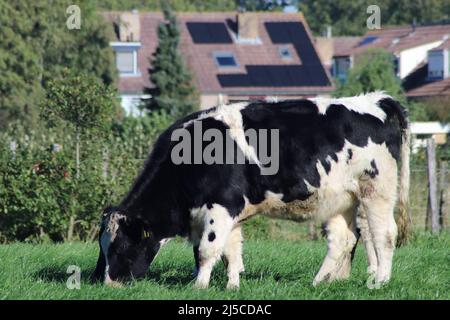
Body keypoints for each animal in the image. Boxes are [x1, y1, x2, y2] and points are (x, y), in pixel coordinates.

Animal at [93, 91, 410, 288]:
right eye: (101, 246)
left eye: (121, 245)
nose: (107, 282)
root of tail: (373, 101)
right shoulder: (230, 213)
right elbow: (231, 251)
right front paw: (232, 285)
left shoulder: (220, 207)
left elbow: (207, 250)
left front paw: (198, 286)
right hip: (340, 200)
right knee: (343, 240)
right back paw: (319, 281)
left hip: (376, 191)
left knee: (384, 235)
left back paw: (379, 282)